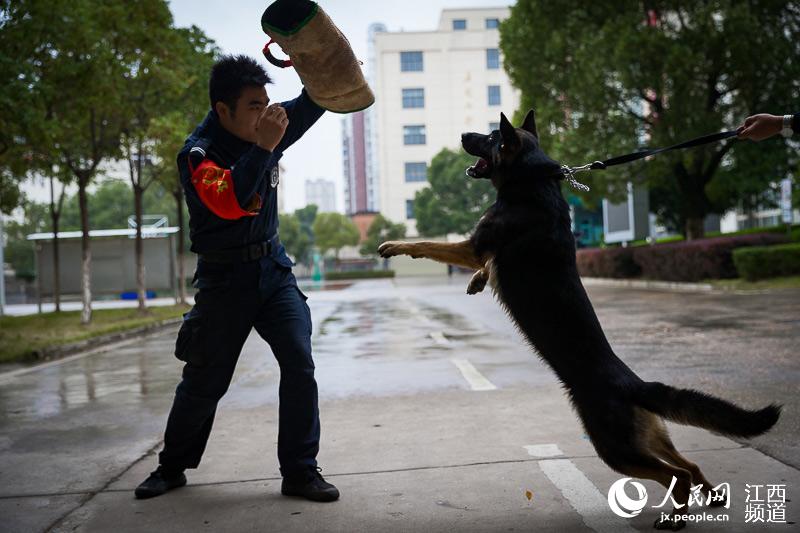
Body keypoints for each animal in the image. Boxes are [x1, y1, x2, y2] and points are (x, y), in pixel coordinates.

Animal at [382, 111, 780, 528]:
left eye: (490, 137)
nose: (462, 135)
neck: (532, 181)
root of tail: (633, 384)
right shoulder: (482, 249)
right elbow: (478, 262)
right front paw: (476, 279)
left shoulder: (474, 246)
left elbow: (429, 244)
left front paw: (395, 246)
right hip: (646, 437)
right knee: (690, 464)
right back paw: (711, 497)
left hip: (615, 448)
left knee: (678, 473)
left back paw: (676, 517)